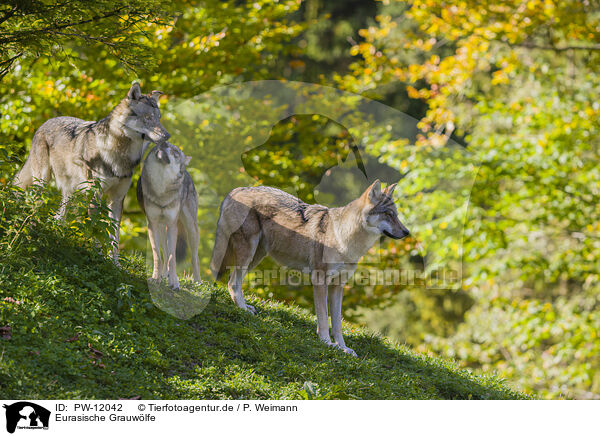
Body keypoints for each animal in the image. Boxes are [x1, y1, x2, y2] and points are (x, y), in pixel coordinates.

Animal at [12, 83, 171, 260]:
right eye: (148, 118)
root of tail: (44, 123)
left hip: (70, 192)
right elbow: (96, 229)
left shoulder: (117, 199)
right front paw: (98, 256)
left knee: (60, 216)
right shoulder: (95, 195)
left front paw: (114, 263)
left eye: (158, 118)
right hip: (42, 183)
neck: (120, 155)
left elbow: (114, 237)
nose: (167, 135)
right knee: (35, 206)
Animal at [137, 141, 200, 290]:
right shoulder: (152, 225)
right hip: (161, 229)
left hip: (191, 228)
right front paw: (156, 278)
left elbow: (173, 258)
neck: (161, 190)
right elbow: (158, 256)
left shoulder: (172, 226)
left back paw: (197, 281)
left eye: (176, 152)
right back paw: (164, 274)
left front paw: (175, 282)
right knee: (164, 252)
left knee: (194, 257)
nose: (163, 142)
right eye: (158, 146)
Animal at [209, 179, 410, 356]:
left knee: (233, 281)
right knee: (232, 282)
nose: (407, 232)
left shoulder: (338, 286)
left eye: (396, 214)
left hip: (257, 256)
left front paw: (343, 348)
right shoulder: (320, 281)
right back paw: (243, 309)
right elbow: (323, 318)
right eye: (388, 214)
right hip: (248, 253)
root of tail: (236, 190)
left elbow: (337, 324)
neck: (345, 240)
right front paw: (327, 343)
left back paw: (246, 307)